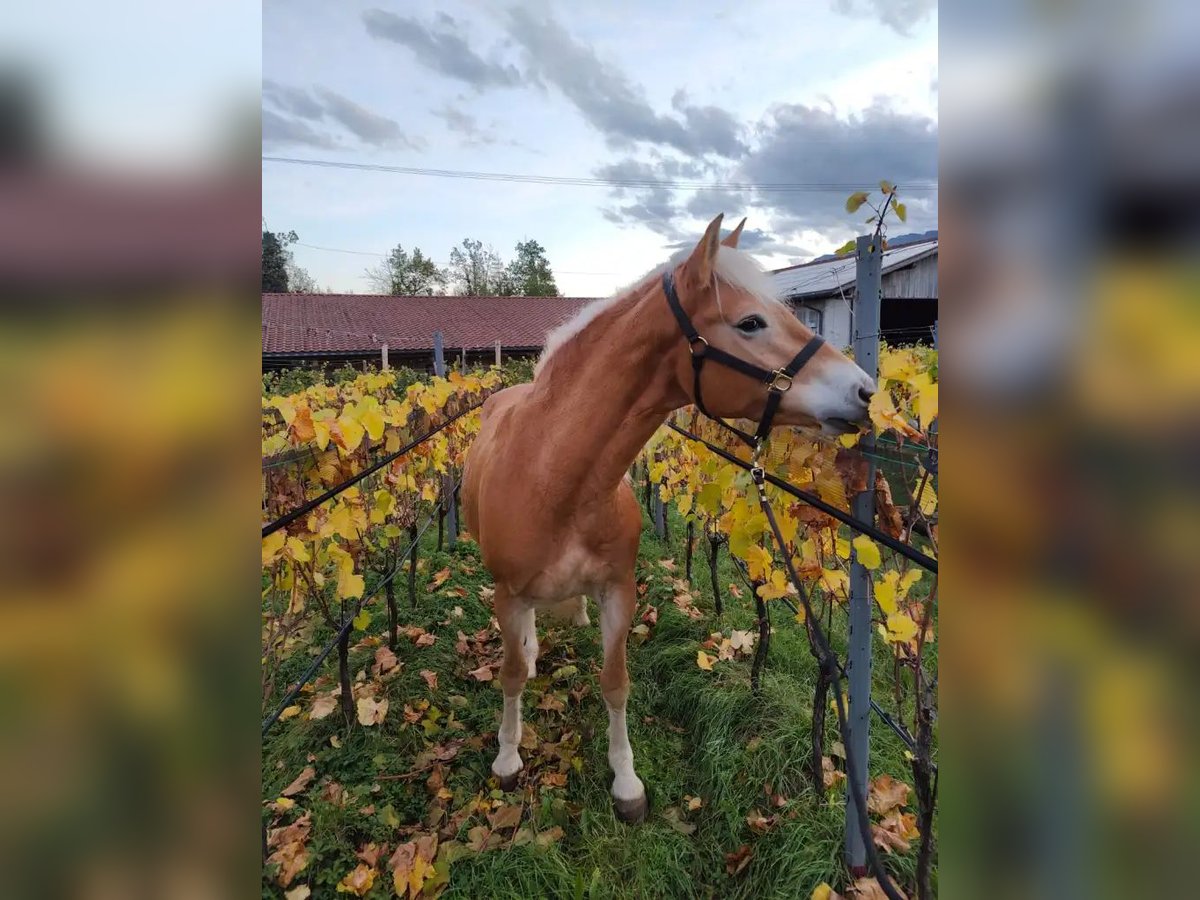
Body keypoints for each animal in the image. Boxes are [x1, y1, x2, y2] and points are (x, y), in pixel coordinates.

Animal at [458, 213, 873, 825]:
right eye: (750, 322)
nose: (865, 391)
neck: (557, 478)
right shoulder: (508, 594)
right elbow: (509, 676)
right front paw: (508, 759)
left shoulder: (618, 592)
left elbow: (615, 683)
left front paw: (626, 783)